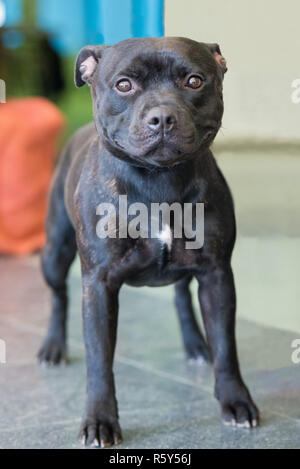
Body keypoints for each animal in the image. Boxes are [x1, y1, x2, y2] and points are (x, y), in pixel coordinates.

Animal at [38, 36, 258, 446]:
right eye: (124, 85)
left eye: (194, 81)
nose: (162, 117)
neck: (159, 181)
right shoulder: (99, 285)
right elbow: (99, 360)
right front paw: (100, 420)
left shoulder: (217, 275)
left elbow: (226, 347)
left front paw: (236, 401)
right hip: (54, 253)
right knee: (59, 296)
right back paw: (53, 347)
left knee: (181, 296)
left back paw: (195, 344)